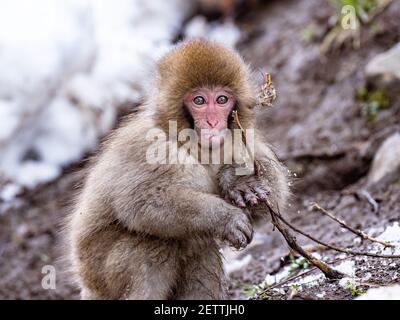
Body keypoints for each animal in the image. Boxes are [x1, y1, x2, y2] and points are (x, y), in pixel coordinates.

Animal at [68, 38, 288, 298]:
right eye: (199, 101)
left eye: (221, 100)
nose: (213, 122)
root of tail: (86, 284)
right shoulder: (151, 146)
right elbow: (140, 201)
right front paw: (225, 217)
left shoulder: (240, 137)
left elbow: (276, 190)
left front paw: (238, 179)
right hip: (101, 272)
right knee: (152, 246)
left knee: (199, 249)